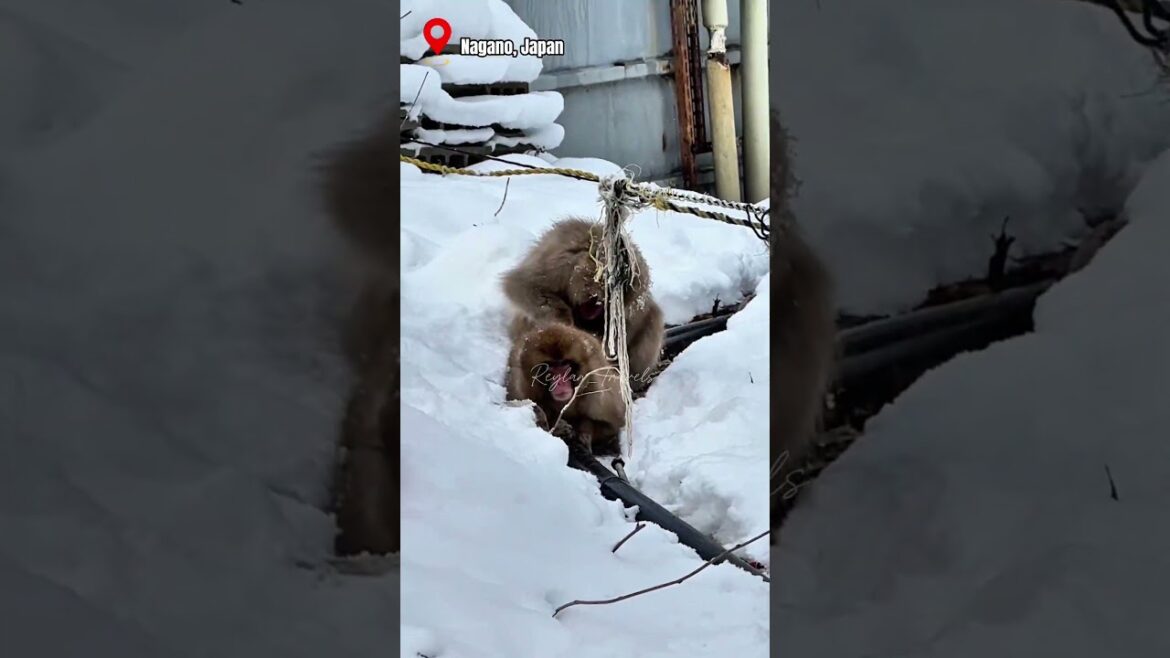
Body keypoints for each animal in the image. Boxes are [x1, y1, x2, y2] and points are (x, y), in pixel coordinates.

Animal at [501, 218, 665, 390]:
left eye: (606, 300)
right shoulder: (562, 266)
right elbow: (522, 284)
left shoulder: (633, 295)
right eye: (593, 298)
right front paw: (564, 321)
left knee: (653, 315)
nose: (593, 307)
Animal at [505, 322, 627, 457]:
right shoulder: (521, 389)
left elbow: (610, 427)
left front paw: (583, 433)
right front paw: (558, 426)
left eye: (564, 365)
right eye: (550, 367)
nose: (560, 383)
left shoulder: (601, 396)